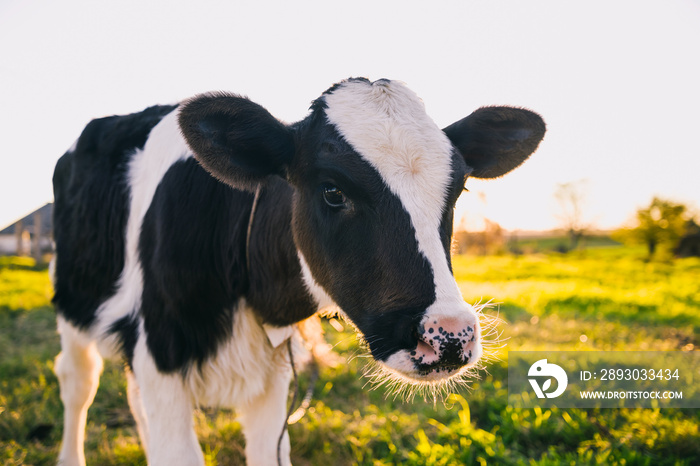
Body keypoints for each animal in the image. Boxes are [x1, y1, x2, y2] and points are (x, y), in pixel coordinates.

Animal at [53, 78, 548, 464]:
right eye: (332, 191)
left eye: (458, 188)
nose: (448, 336)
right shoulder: (159, 352)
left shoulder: (272, 377)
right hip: (71, 304)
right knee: (78, 384)